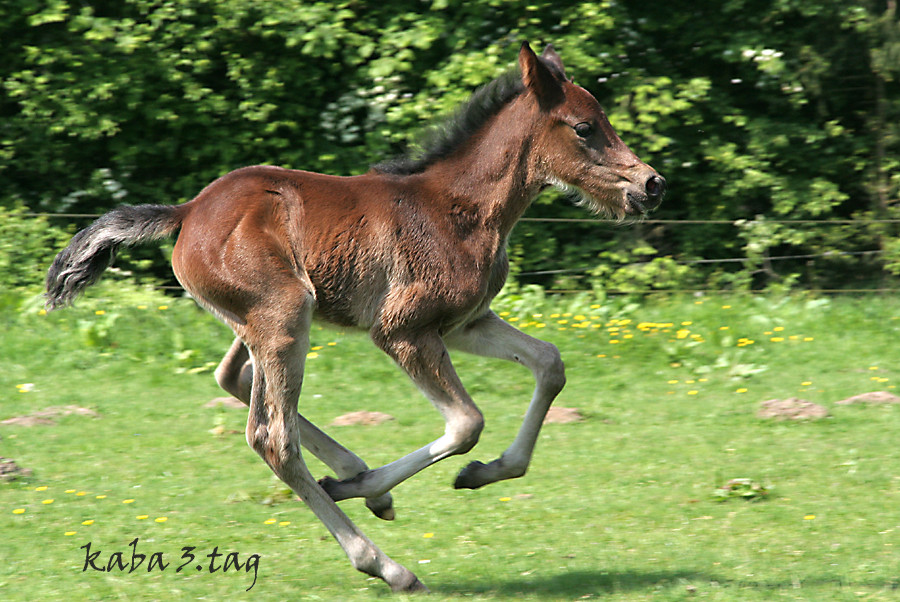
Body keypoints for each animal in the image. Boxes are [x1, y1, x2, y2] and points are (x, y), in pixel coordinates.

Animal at [47, 43, 668, 592]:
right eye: (584, 127)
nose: (651, 184)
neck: (461, 210)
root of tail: (187, 211)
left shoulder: (466, 322)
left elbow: (550, 364)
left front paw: (478, 473)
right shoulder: (402, 330)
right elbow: (465, 423)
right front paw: (408, 484)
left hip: (262, 321)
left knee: (235, 378)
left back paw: (358, 478)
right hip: (285, 314)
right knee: (272, 437)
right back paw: (385, 561)